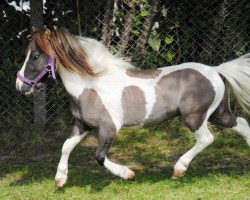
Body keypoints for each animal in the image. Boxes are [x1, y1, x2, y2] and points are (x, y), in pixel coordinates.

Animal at [15, 28, 250, 188]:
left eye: (34, 56)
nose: (20, 86)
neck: (92, 86)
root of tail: (215, 70)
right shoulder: (82, 125)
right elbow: (66, 146)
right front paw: (60, 179)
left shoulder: (109, 128)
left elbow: (100, 157)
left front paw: (128, 174)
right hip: (218, 114)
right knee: (242, 124)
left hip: (194, 117)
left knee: (206, 139)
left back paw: (178, 169)